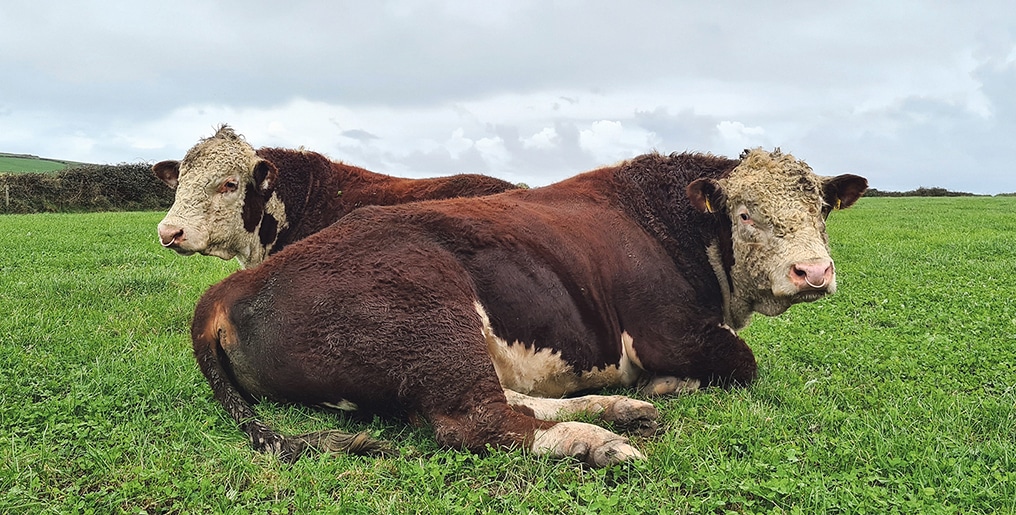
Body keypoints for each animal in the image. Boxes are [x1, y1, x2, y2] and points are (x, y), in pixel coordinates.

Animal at [188, 148, 865, 467]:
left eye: (821, 208)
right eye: (746, 214)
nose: (814, 273)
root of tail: (229, 288)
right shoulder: (670, 332)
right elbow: (742, 363)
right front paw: (670, 385)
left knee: (502, 399)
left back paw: (615, 408)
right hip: (431, 310)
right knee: (477, 421)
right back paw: (598, 440)